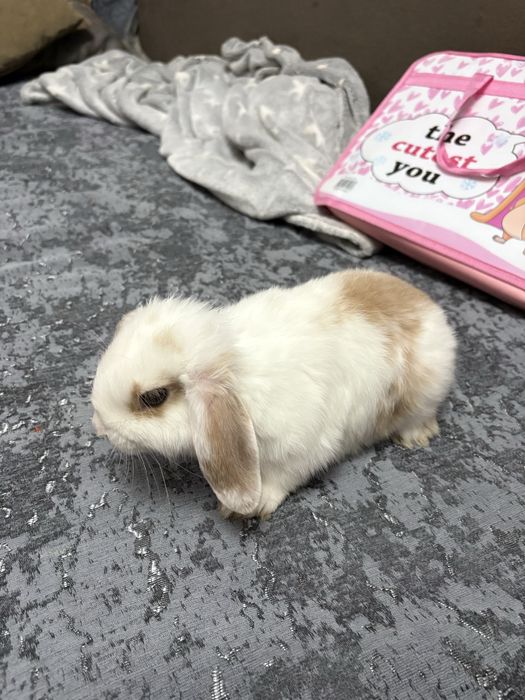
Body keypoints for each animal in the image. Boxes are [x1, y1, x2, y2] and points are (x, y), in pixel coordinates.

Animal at [91, 269, 456, 519]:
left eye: (153, 397)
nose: (100, 427)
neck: (237, 370)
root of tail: (427, 304)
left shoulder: (303, 446)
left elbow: (282, 477)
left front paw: (245, 509)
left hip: (424, 395)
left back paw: (416, 437)